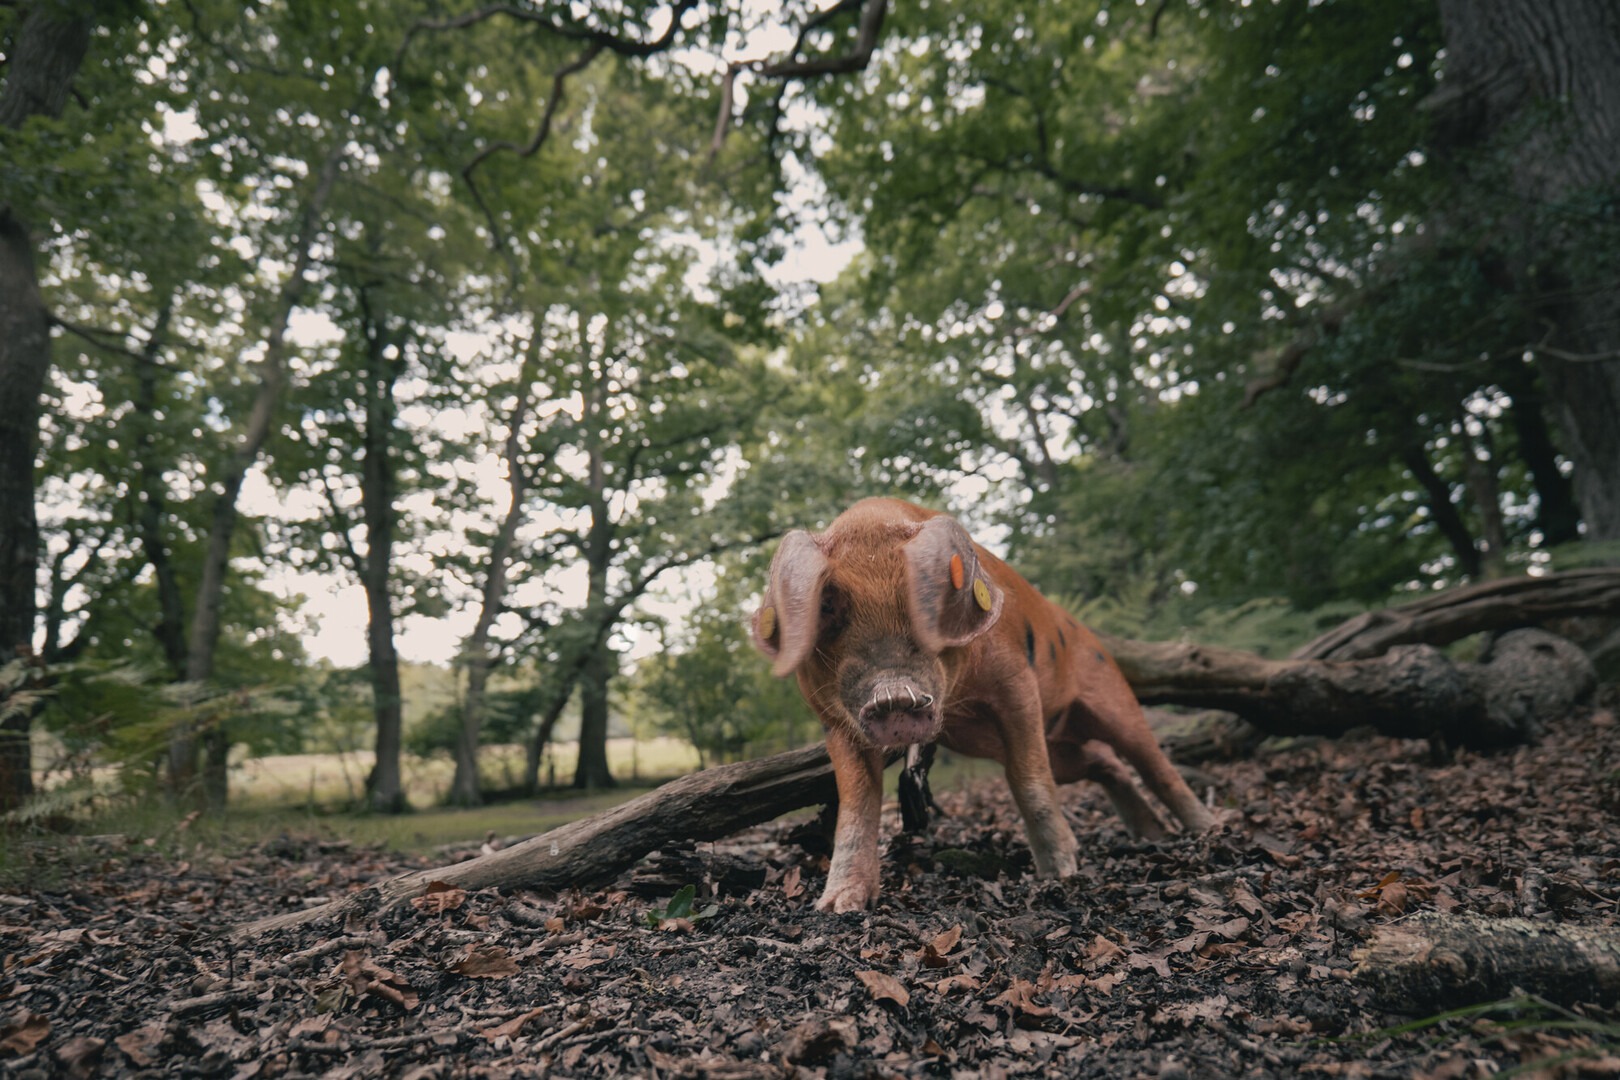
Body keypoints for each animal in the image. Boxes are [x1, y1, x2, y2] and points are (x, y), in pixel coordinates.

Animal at [750, 498, 1214, 913]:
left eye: (923, 598)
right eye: (827, 604)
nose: (893, 695)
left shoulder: (1016, 683)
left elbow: (1027, 777)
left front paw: (1060, 874)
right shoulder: (835, 722)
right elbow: (856, 805)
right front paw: (836, 908)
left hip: (1110, 697)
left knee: (1150, 760)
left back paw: (1207, 829)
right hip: (1055, 751)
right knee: (1106, 762)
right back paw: (1150, 835)